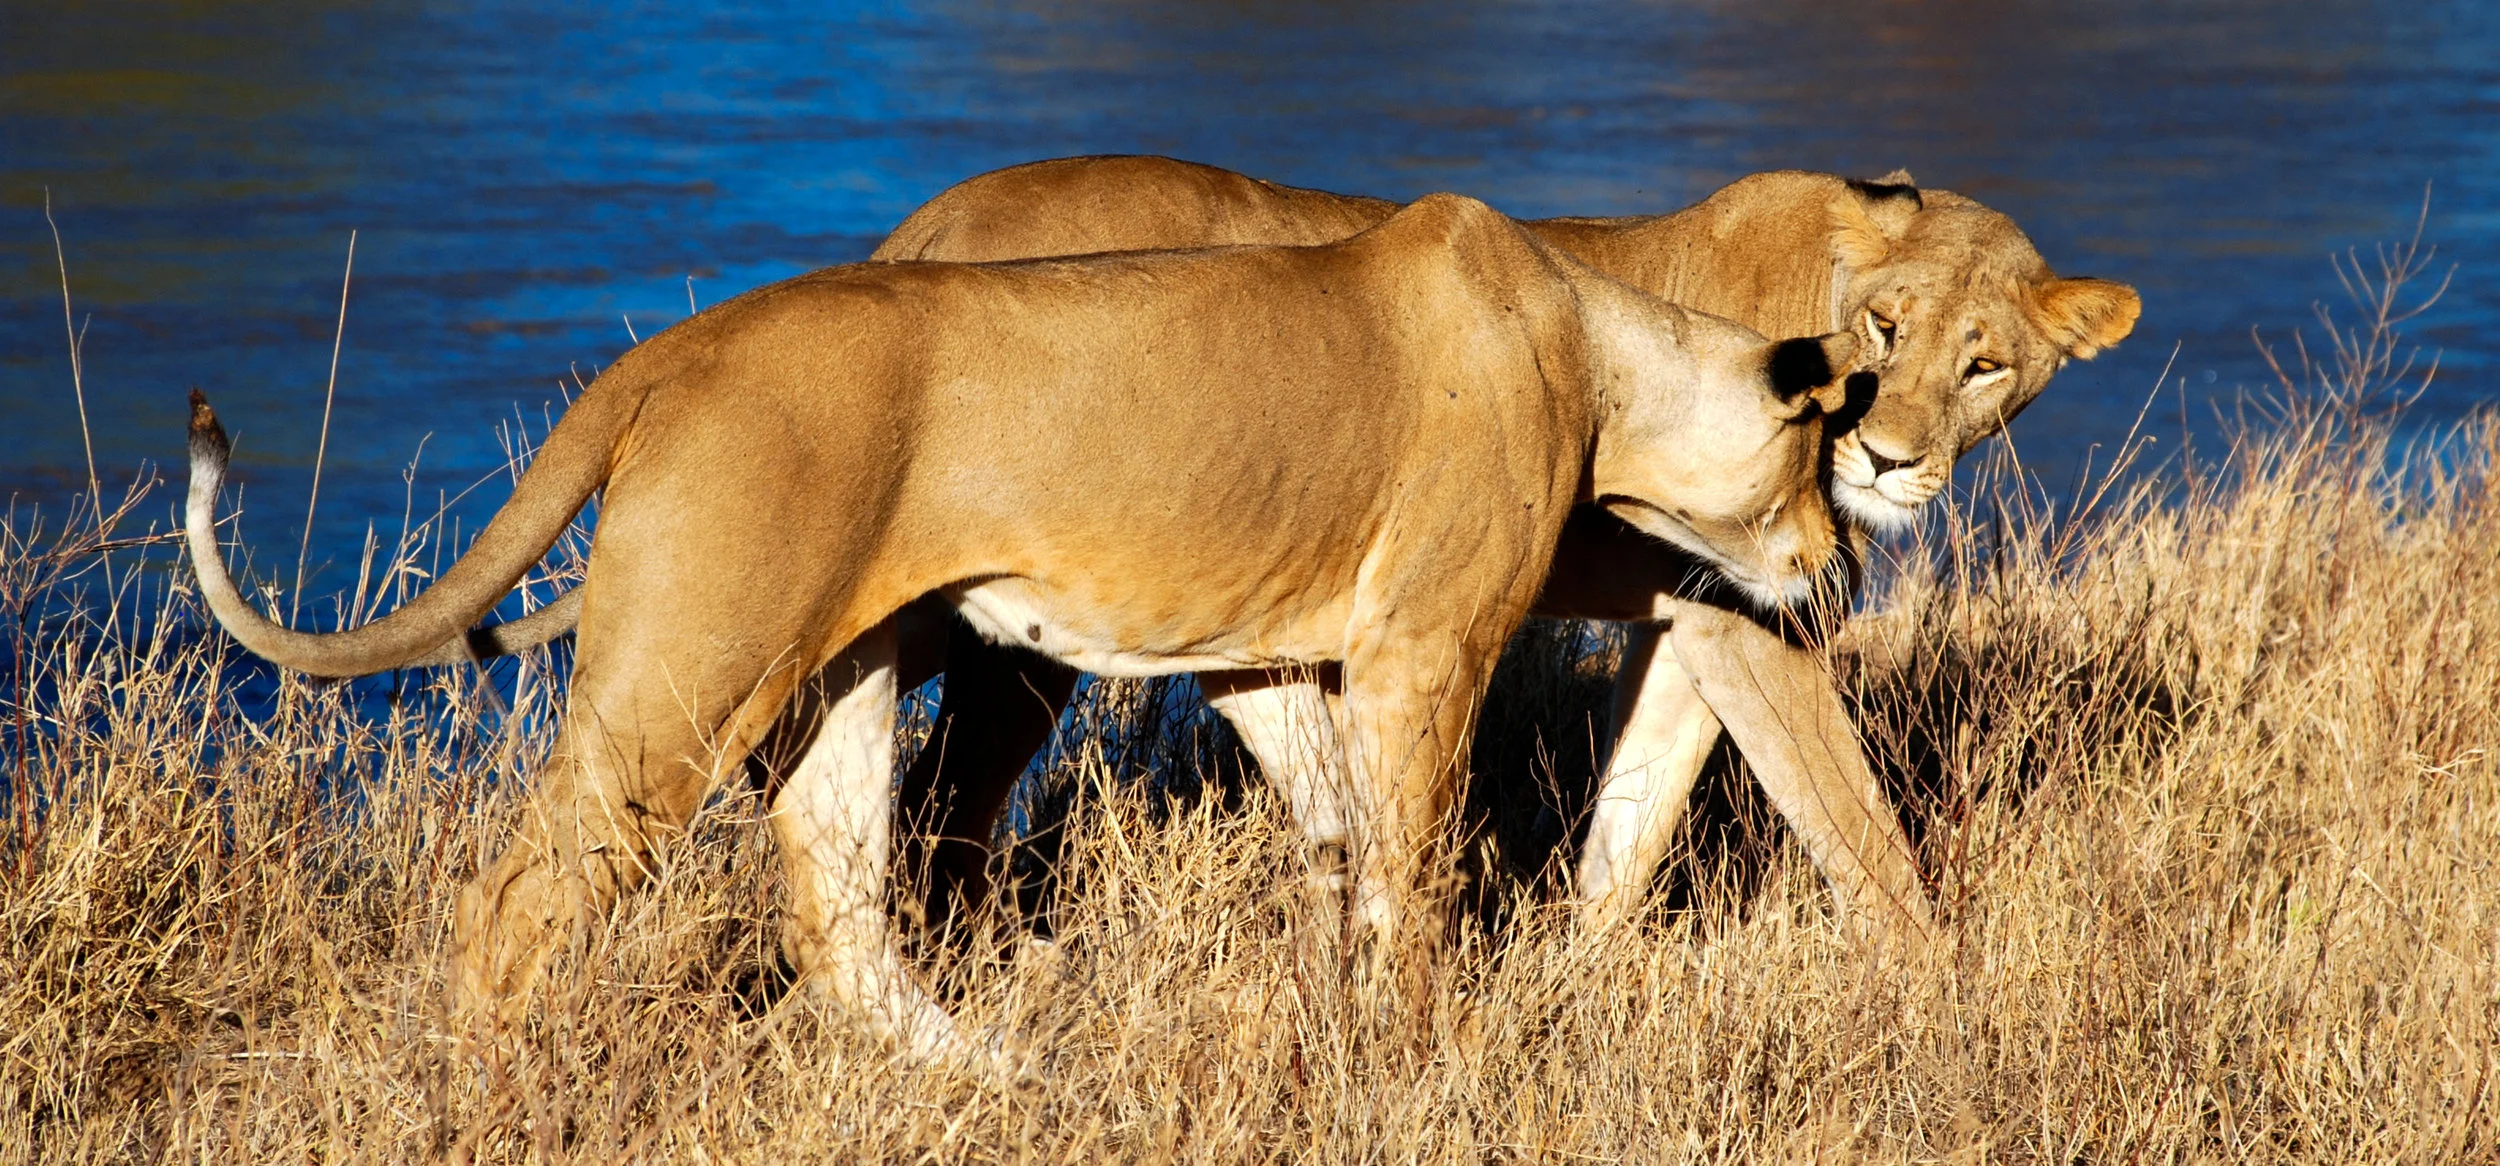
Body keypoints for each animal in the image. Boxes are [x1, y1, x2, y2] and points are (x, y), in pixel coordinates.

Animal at [185, 194, 1865, 1068]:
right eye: (1819, 460)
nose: (1840, 562)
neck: (1600, 341)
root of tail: (675, 348)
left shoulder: (1267, 646)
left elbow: (1340, 843)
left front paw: (1335, 1017)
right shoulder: (1422, 646)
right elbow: (1420, 865)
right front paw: (1419, 1045)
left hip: (836, 677)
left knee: (843, 923)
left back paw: (1003, 1065)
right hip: (690, 666)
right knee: (516, 903)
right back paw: (495, 1091)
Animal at [417, 157, 2142, 949]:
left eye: (1987, 363)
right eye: (1887, 332)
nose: (1889, 456)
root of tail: (921, 230)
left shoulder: (1697, 622)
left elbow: (1637, 814)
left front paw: (1577, 972)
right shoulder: (1743, 626)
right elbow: (1854, 819)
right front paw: (1945, 994)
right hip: (1011, 641)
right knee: (949, 817)